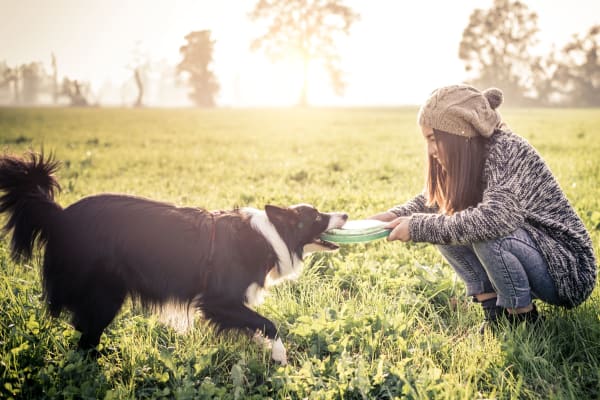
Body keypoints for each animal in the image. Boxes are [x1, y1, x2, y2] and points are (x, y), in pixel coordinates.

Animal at [0, 152, 346, 364]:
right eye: (317, 217)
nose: (343, 214)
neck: (270, 235)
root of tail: (59, 217)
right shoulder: (218, 300)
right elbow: (268, 323)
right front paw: (279, 355)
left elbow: (256, 325)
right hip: (106, 293)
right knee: (87, 337)